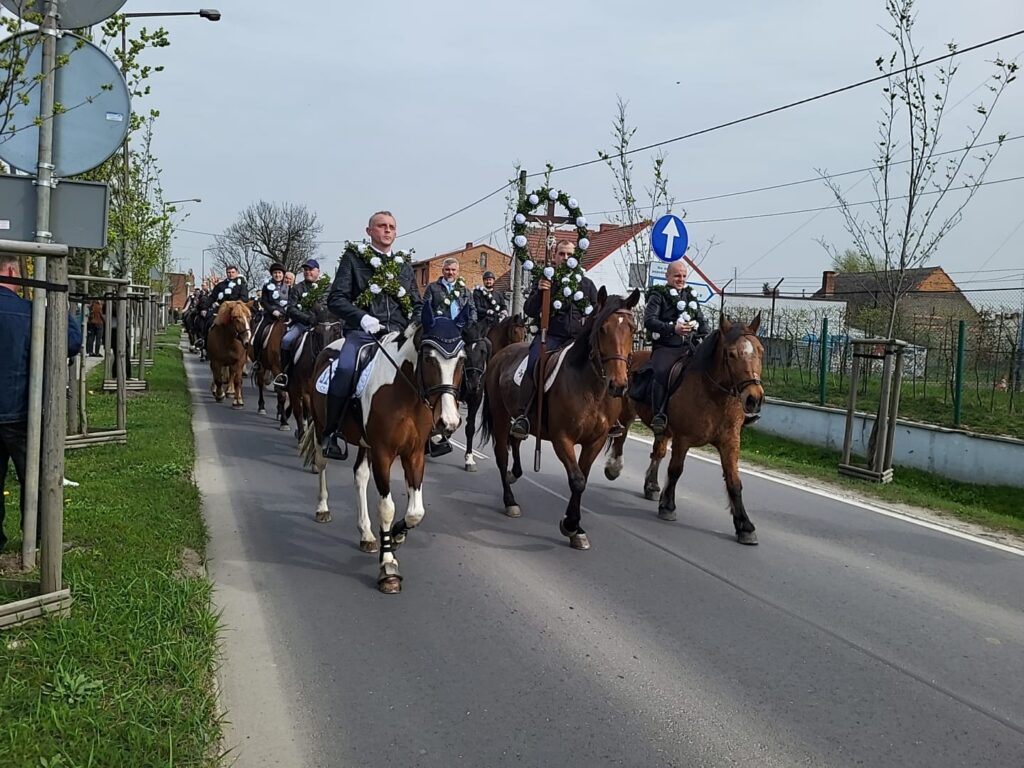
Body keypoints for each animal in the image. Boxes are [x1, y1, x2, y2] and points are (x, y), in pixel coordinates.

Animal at [299, 301, 468, 593]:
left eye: (462, 360)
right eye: (428, 358)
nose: (449, 422)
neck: (405, 393)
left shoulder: (414, 454)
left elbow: (416, 512)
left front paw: (397, 535)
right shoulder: (383, 453)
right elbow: (387, 508)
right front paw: (388, 567)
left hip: (365, 445)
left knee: (360, 475)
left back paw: (366, 534)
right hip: (322, 429)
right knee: (322, 464)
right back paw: (323, 509)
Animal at [481, 286, 638, 548]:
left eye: (632, 329)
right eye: (602, 329)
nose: (618, 385)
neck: (590, 387)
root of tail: (501, 354)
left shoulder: (594, 441)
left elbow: (583, 479)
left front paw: (576, 529)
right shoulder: (562, 438)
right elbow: (577, 480)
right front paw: (570, 525)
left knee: (515, 440)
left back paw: (515, 475)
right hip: (500, 417)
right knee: (502, 455)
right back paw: (510, 501)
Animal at [602, 309, 765, 544]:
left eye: (761, 351)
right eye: (732, 354)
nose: (754, 399)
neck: (714, 394)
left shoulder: (730, 441)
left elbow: (734, 481)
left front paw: (744, 525)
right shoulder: (683, 438)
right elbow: (676, 470)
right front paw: (668, 506)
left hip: (662, 430)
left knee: (657, 452)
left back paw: (651, 486)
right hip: (626, 414)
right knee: (621, 439)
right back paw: (614, 468)